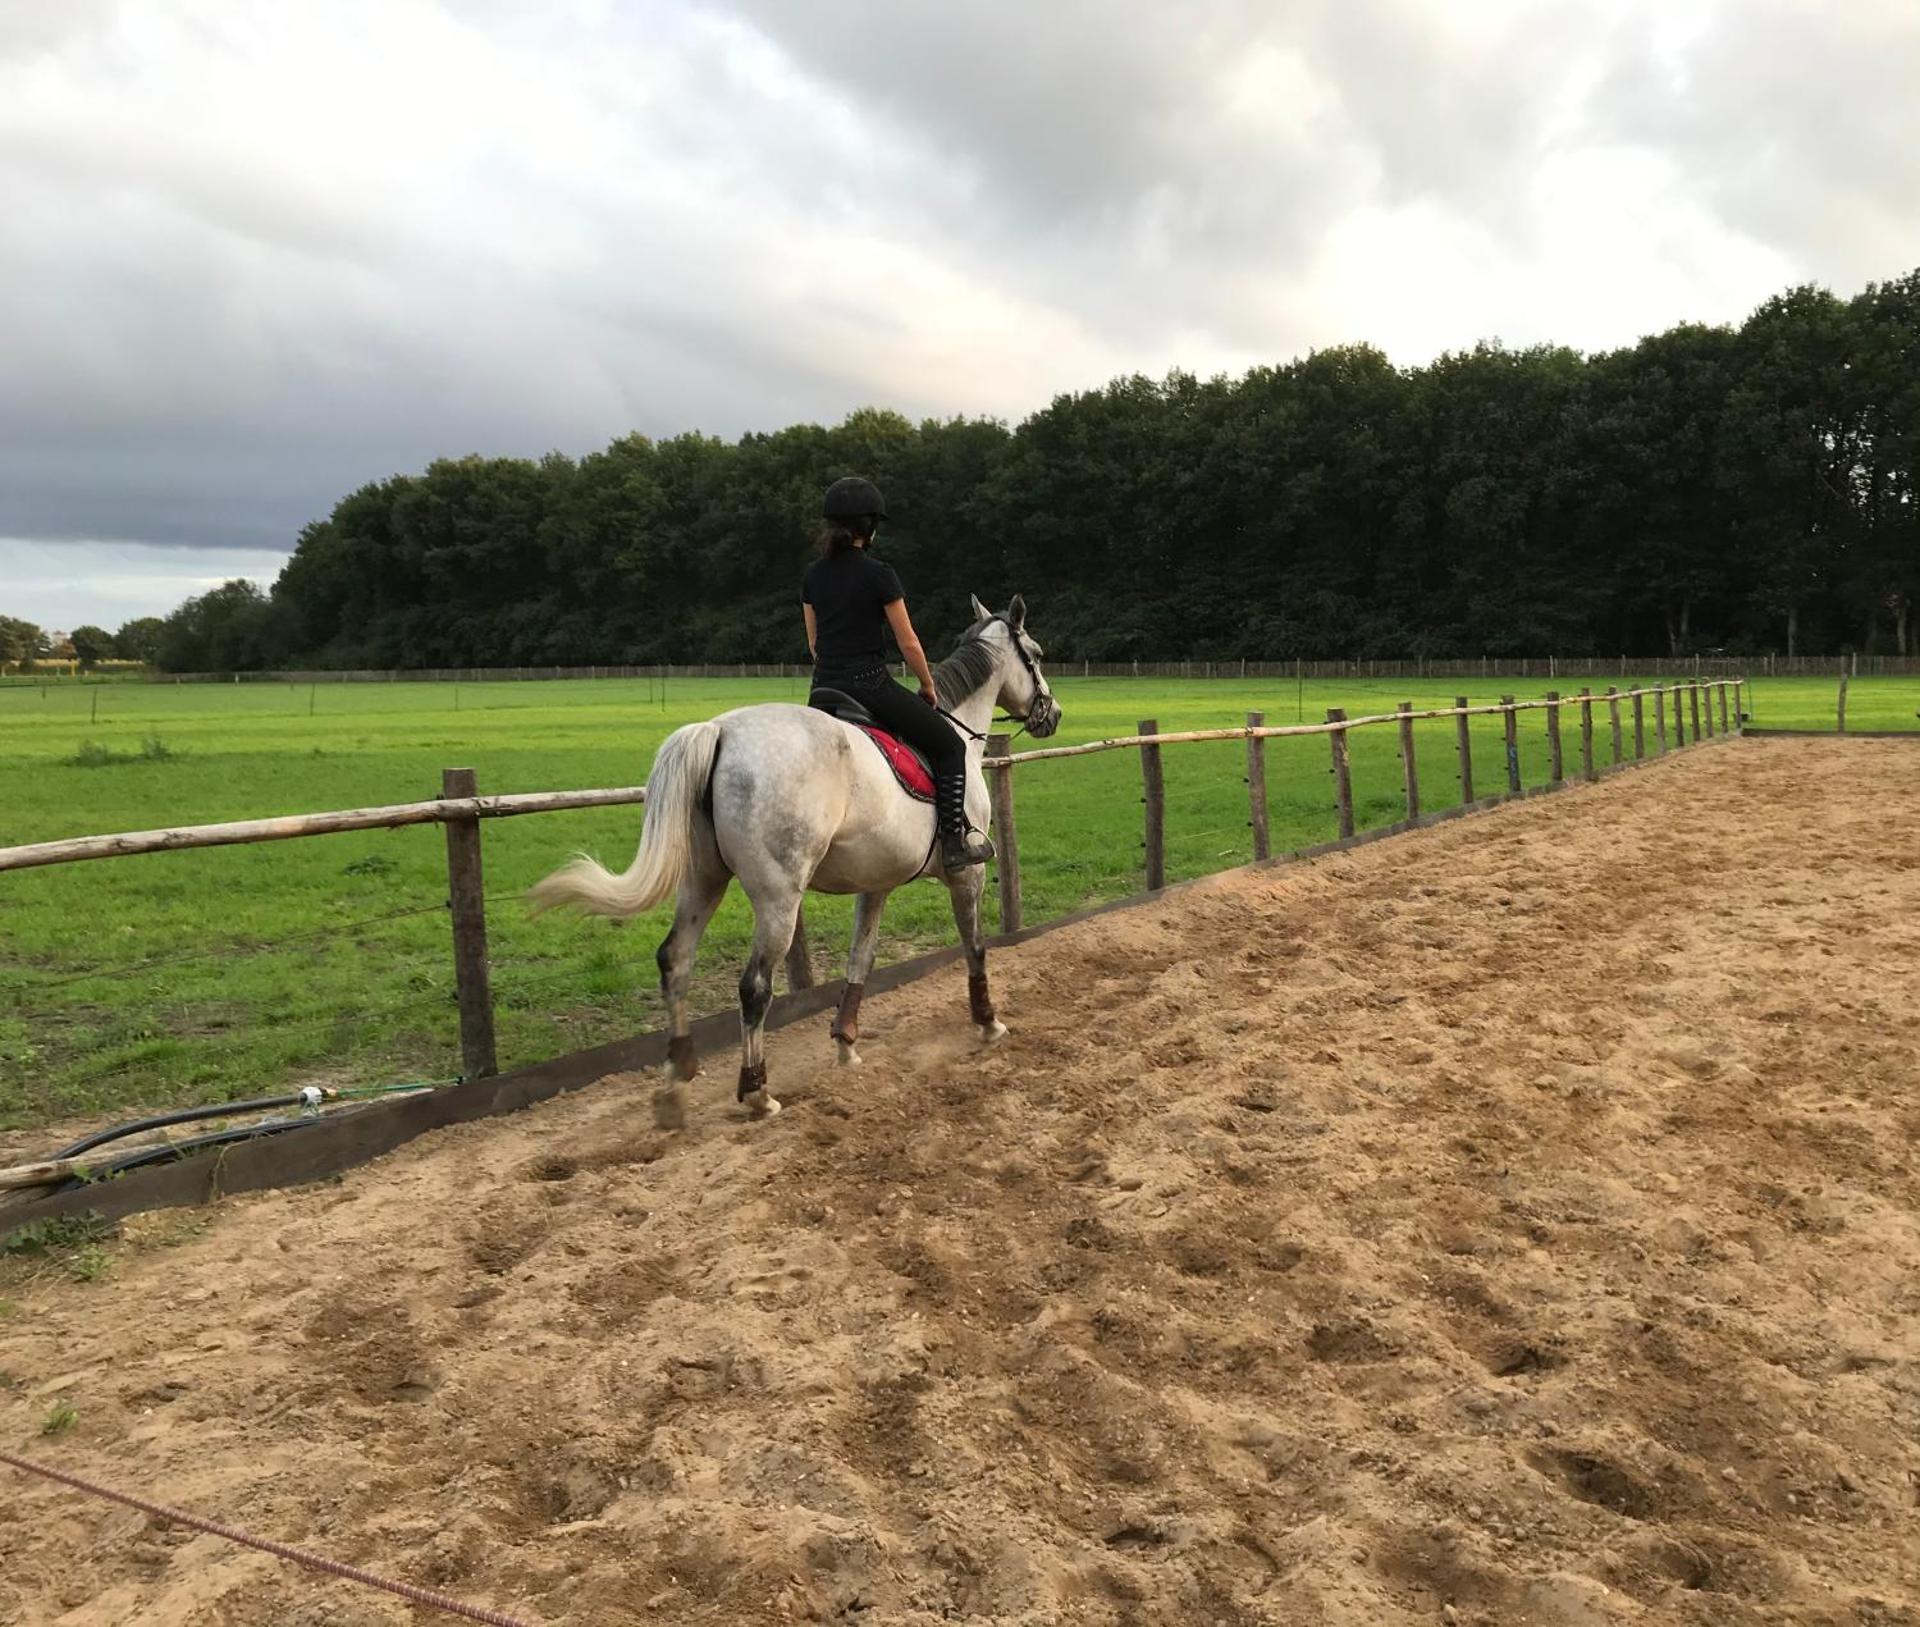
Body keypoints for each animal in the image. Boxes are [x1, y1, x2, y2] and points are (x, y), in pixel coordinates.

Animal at [530, 594, 1059, 1128]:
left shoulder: (876, 884)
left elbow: (860, 957)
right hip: (778, 897)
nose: (1051, 714)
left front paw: (846, 1044)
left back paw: (676, 1085)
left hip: (703, 881)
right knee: (753, 987)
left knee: (675, 960)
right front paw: (988, 1022)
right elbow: (975, 945)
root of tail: (719, 731)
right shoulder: (966, 871)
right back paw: (757, 1093)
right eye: (1036, 654)